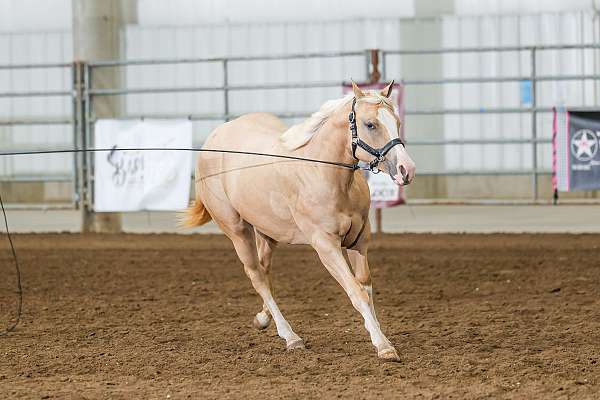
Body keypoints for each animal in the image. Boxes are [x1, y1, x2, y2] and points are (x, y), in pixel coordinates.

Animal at [183, 82, 414, 362]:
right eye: (370, 124)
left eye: (397, 121)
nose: (406, 170)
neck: (323, 173)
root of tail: (214, 137)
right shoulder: (325, 245)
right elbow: (356, 292)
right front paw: (383, 346)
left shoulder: (359, 241)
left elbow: (366, 288)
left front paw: (379, 336)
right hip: (236, 230)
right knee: (256, 275)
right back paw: (290, 337)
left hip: (267, 232)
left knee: (265, 271)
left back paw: (263, 319)